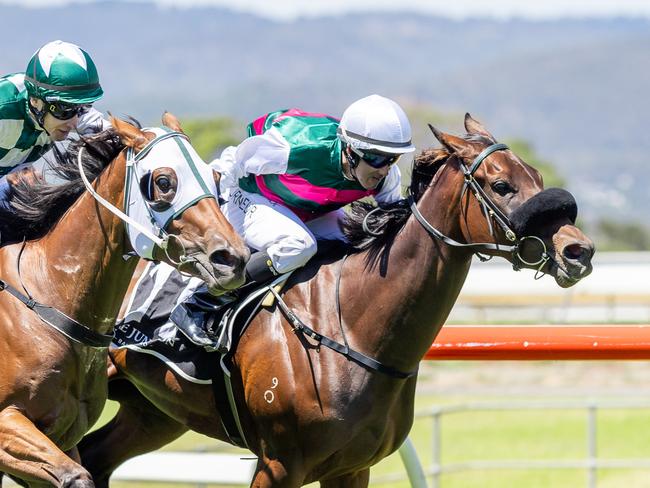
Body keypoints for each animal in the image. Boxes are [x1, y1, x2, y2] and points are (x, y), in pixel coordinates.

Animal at [0, 115, 248, 488]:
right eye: (164, 181)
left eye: (215, 178)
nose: (232, 259)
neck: (48, 298)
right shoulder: (9, 423)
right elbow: (76, 477)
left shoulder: (63, 436)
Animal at [76, 115, 592, 488]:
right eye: (501, 185)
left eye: (537, 176)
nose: (578, 251)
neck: (353, 328)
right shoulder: (278, 465)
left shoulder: (352, 468)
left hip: (154, 411)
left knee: (94, 457)